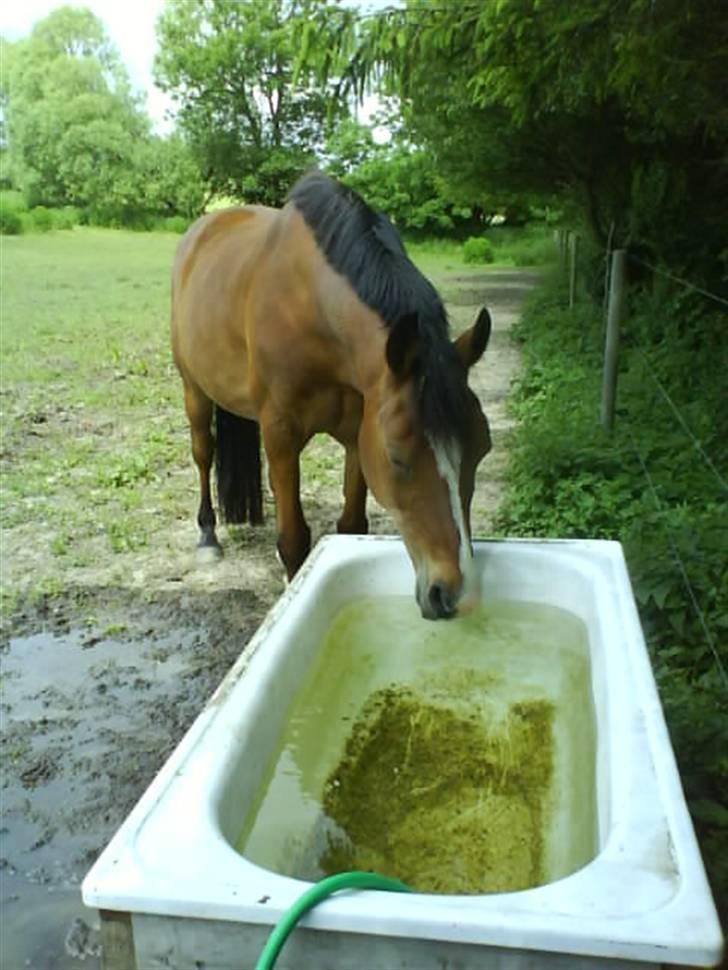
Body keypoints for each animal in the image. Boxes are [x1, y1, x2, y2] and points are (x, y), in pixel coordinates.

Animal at [171, 170, 492, 616]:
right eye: (399, 458)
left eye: (483, 450)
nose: (455, 595)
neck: (312, 308)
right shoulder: (281, 434)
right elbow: (293, 539)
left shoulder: (361, 431)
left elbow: (351, 525)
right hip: (194, 389)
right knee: (203, 454)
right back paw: (207, 537)